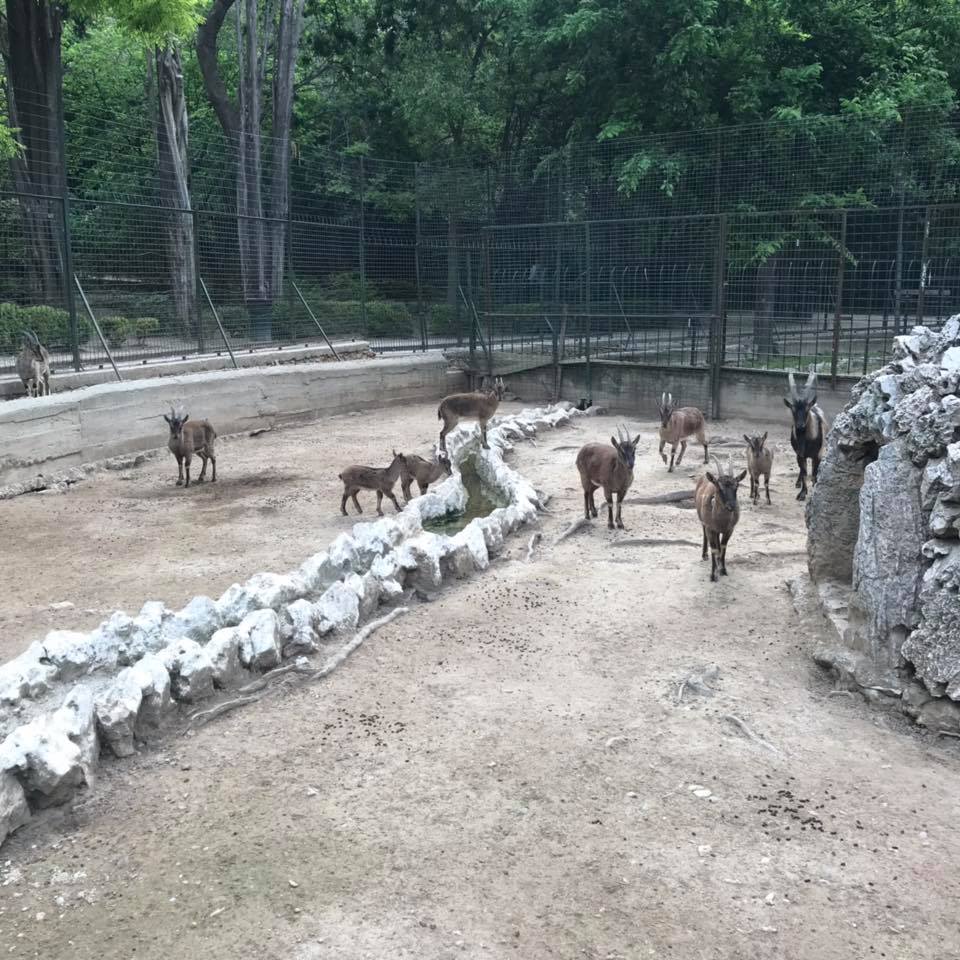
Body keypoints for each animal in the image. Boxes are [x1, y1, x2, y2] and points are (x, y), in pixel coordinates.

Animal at [784, 372, 827, 501]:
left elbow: (814, 471)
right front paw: (802, 493)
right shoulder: (800, 454)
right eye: (792, 409)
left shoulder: (817, 454)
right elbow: (803, 472)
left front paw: (814, 488)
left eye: (807, 409)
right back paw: (798, 483)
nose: (800, 426)